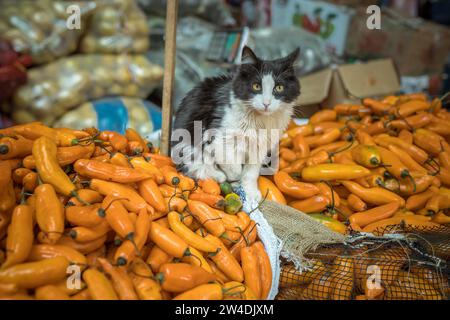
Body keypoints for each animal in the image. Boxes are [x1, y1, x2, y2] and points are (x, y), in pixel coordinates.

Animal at [171, 46, 300, 201]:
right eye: (256, 86)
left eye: (279, 88)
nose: (266, 103)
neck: (259, 121)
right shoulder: (219, 140)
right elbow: (234, 167)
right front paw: (235, 180)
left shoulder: (260, 147)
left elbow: (251, 173)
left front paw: (250, 192)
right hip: (186, 145)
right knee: (195, 168)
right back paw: (218, 175)